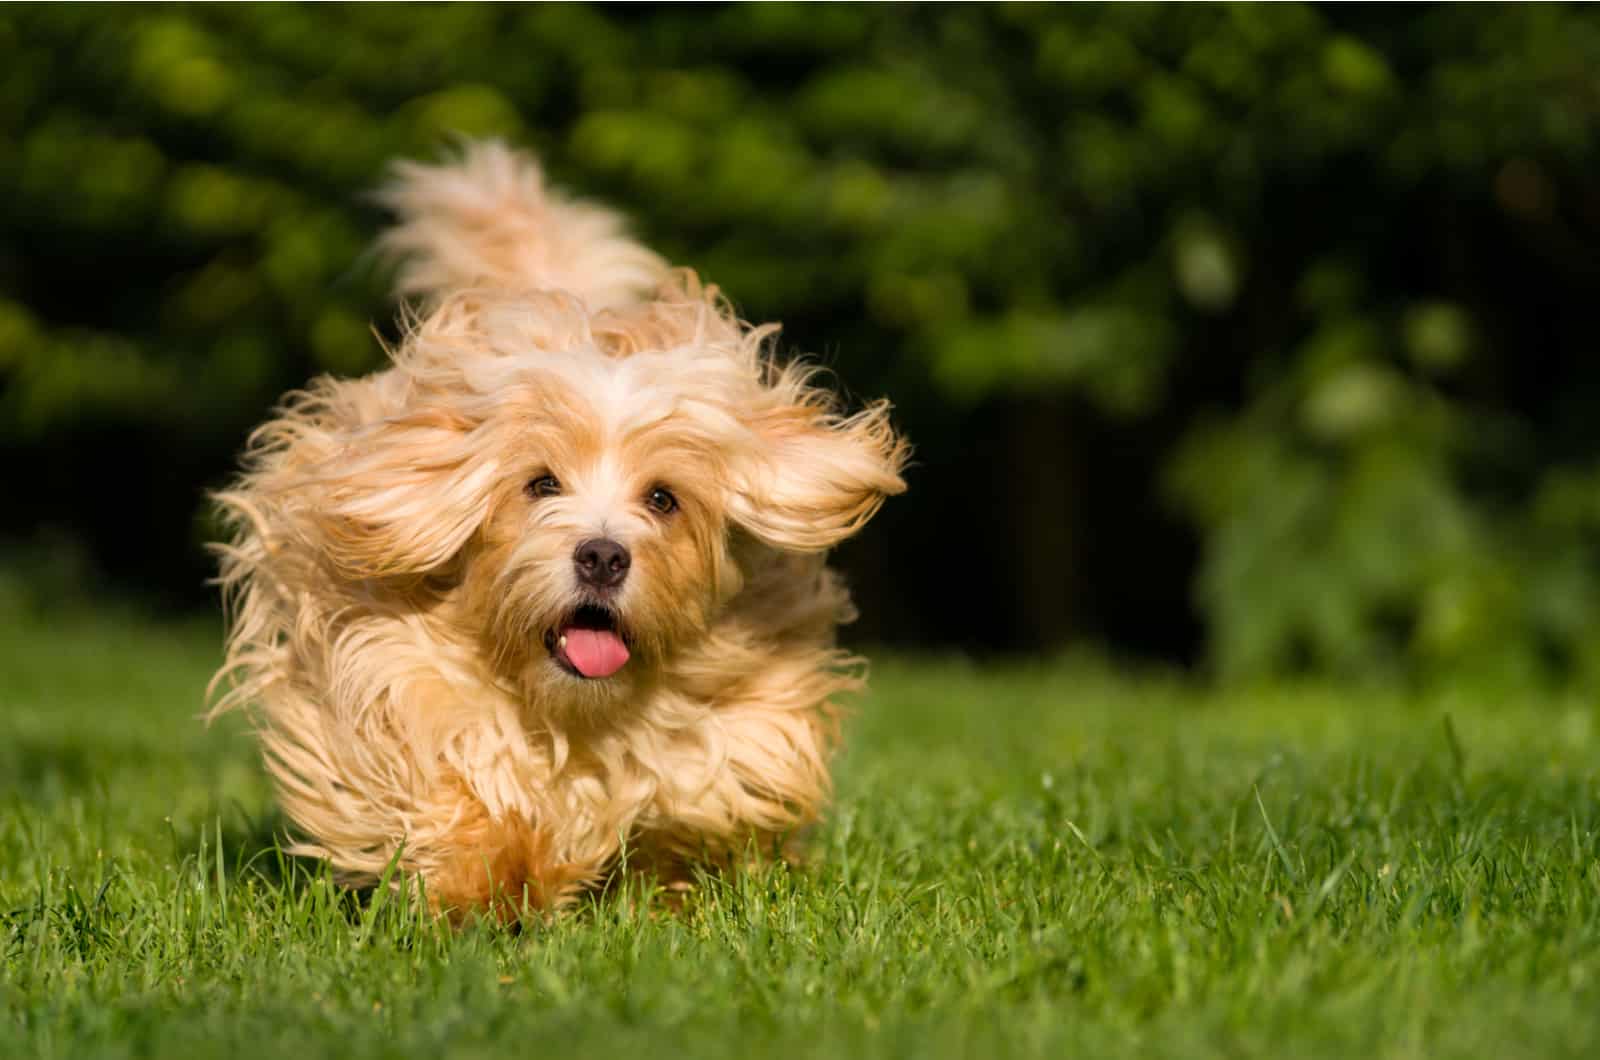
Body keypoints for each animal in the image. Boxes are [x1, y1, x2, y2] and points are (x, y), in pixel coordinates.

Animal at [211, 140, 908, 922]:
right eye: (540, 484)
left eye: (663, 498)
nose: (602, 555)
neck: (580, 715)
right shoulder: (390, 672)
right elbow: (453, 775)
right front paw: (489, 880)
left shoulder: (746, 722)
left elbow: (695, 797)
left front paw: (662, 885)